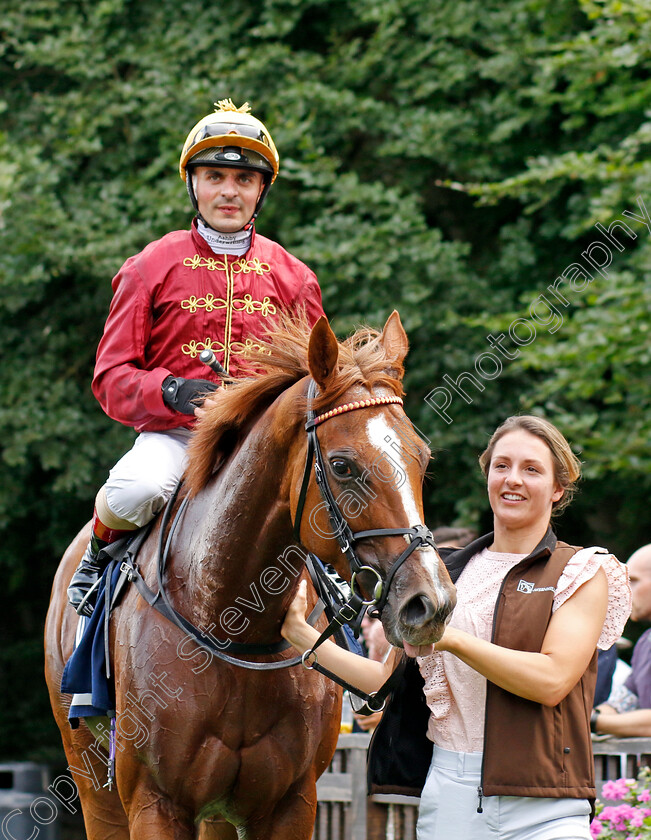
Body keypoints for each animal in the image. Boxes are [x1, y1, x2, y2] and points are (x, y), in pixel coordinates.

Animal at [45, 314, 456, 840]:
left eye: (421, 459)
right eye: (342, 465)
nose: (430, 601)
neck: (231, 623)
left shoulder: (290, 804)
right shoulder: (154, 804)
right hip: (92, 776)